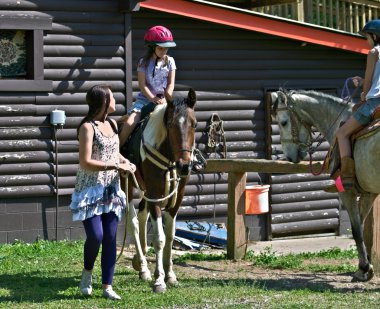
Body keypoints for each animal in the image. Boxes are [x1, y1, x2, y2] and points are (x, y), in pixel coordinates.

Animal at [123, 88, 197, 292]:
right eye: (170, 124)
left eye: (194, 124)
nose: (184, 165)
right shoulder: (155, 194)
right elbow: (159, 238)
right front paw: (159, 280)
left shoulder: (177, 197)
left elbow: (170, 236)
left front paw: (170, 275)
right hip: (128, 186)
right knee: (132, 222)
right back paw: (143, 267)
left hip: (145, 191)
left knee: (141, 216)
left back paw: (140, 263)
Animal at [270, 89, 378, 282]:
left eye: (283, 122)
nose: (289, 156)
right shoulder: (368, 192)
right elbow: (361, 225)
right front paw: (365, 268)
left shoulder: (347, 193)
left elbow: (356, 230)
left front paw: (364, 268)